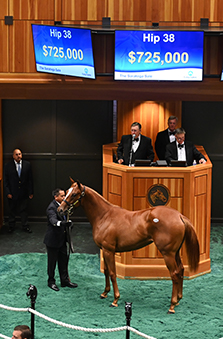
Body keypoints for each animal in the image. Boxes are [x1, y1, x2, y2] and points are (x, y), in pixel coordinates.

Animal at [58, 179, 200, 314]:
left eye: (74, 194)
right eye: (66, 191)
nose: (60, 210)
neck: (104, 216)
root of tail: (179, 216)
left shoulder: (109, 250)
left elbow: (113, 273)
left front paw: (115, 300)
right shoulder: (104, 250)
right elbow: (106, 271)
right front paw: (104, 293)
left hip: (168, 253)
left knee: (174, 274)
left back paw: (172, 305)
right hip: (175, 252)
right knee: (181, 269)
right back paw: (178, 299)